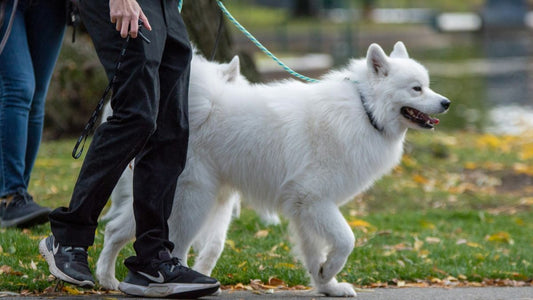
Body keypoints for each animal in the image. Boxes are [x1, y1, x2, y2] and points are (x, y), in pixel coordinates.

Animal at [96, 42, 448, 298]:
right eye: (416, 89)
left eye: (428, 86)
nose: (445, 102)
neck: (364, 110)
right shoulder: (314, 199)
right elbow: (346, 240)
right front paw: (330, 271)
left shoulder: (304, 207)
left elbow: (313, 252)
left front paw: (326, 284)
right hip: (193, 200)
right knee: (171, 246)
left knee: (116, 229)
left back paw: (107, 279)